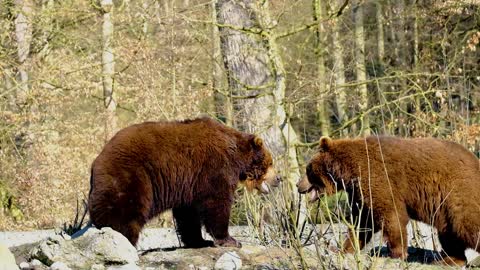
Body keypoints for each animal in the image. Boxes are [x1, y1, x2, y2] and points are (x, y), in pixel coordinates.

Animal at [296, 136, 480, 264]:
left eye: (307, 169)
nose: (298, 185)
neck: (349, 171)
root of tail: (475, 160)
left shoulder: (377, 177)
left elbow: (391, 215)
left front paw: (397, 253)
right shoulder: (359, 192)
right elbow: (361, 223)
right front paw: (344, 248)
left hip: (457, 192)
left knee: (467, 224)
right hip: (443, 209)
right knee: (448, 233)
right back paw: (449, 260)